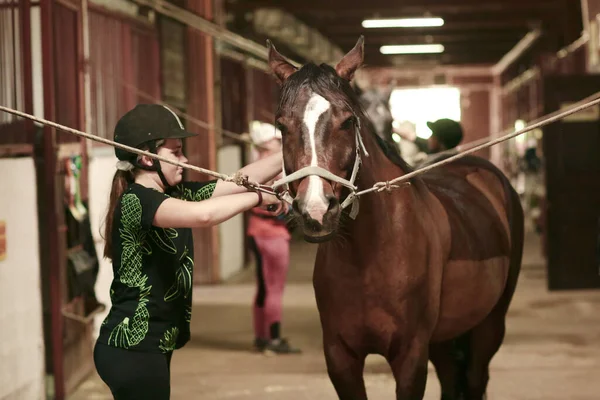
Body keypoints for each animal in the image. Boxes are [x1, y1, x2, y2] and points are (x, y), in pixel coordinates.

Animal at [268, 35, 524, 400]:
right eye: (282, 126)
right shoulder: (340, 358)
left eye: (348, 121)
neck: (370, 256)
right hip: (444, 339)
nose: (316, 210)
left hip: (489, 325)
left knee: (475, 379)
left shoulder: (410, 356)